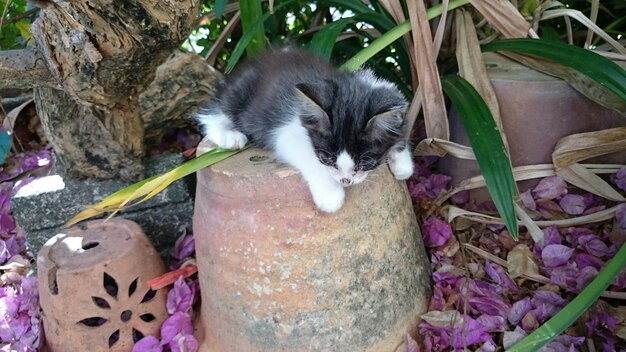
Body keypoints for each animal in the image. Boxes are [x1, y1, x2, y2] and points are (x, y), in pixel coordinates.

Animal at [197, 46, 412, 212]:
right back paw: (229, 135)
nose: (345, 181)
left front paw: (402, 163)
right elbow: (307, 157)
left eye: (366, 162)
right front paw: (330, 194)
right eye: (326, 159)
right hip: (240, 93)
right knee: (215, 112)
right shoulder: (286, 131)